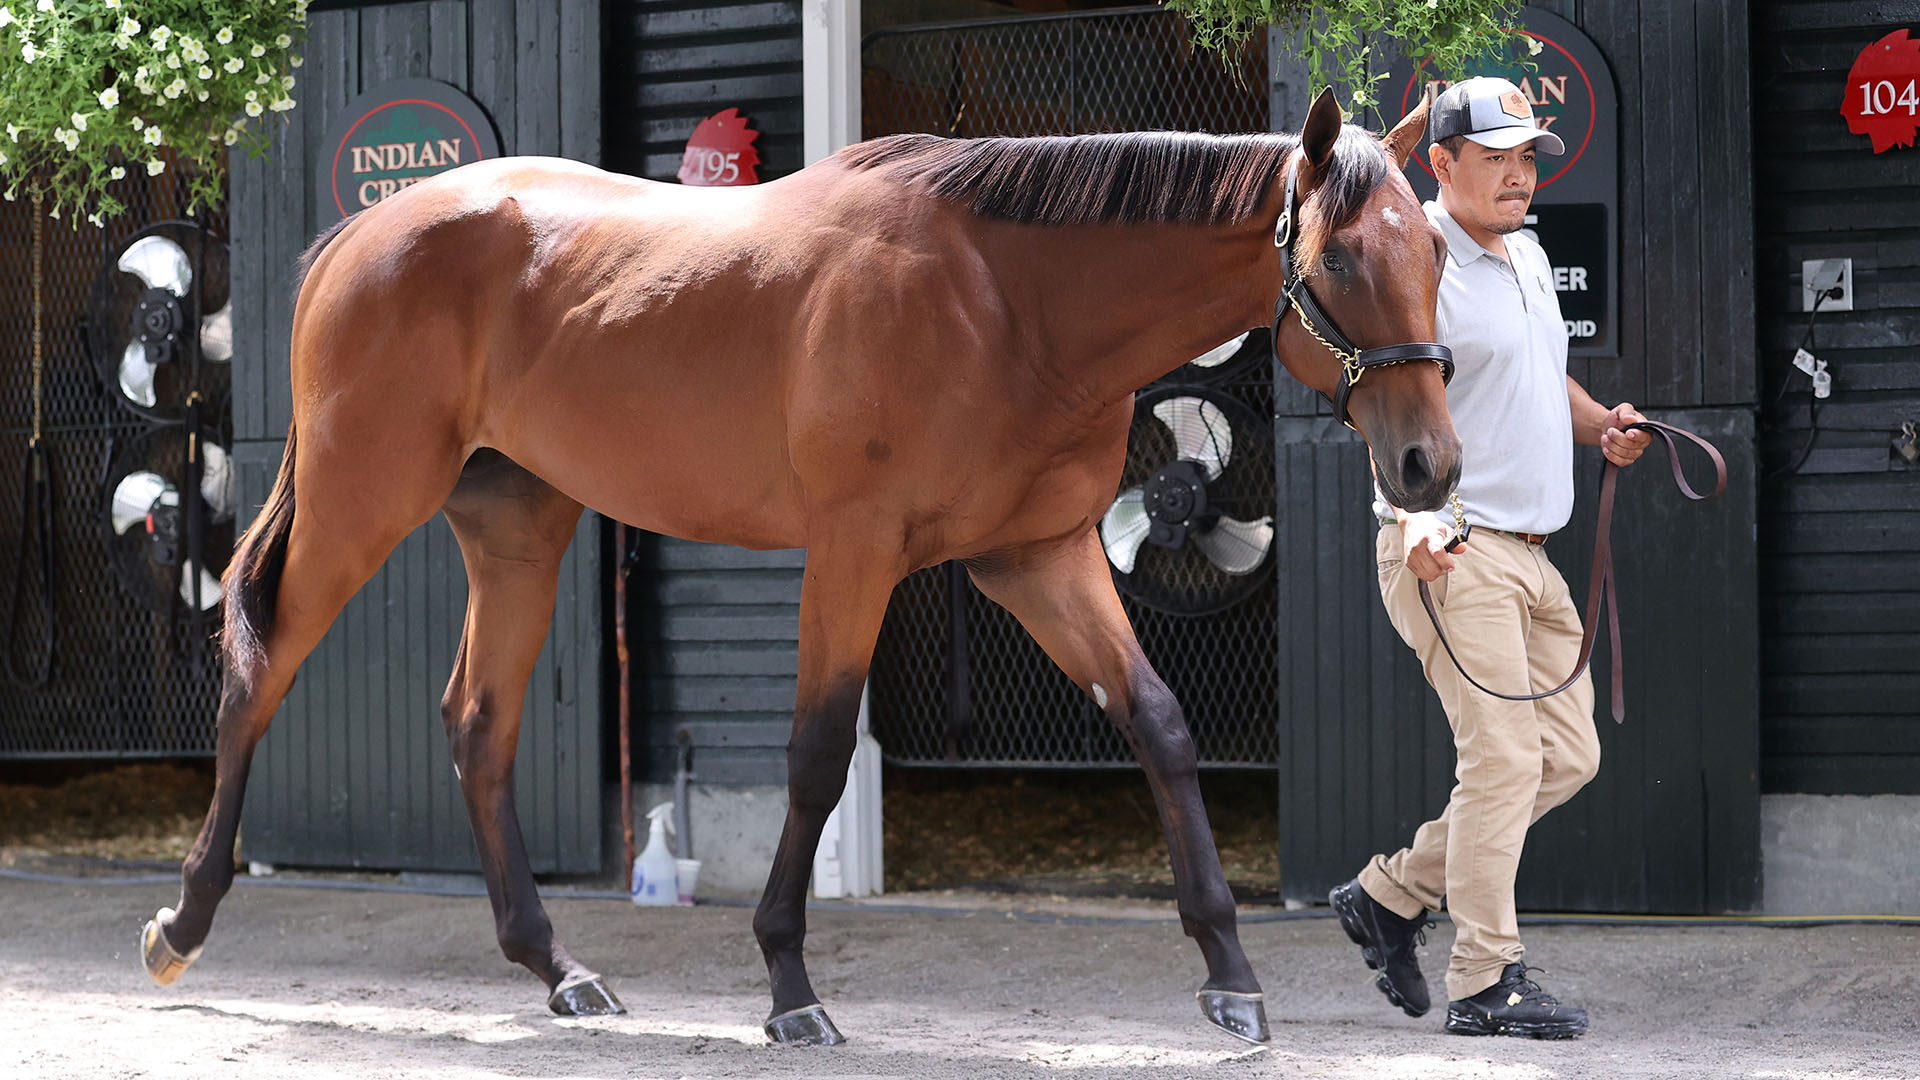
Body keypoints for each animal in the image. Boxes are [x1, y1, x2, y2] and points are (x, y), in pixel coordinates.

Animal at [139, 90, 1451, 1045]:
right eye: (1341, 264)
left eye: (1437, 256)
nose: (1427, 464)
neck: (1008, 302)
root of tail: (359, 236)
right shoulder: (857, 551)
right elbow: (818, 756)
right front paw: (789, 988)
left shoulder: (1038, 558)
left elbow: (1160, 724)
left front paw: (1229, 974)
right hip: (362, 499)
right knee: (260, 671)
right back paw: (183, 925)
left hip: (516, 524)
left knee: (479, 722)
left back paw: (559, 969)